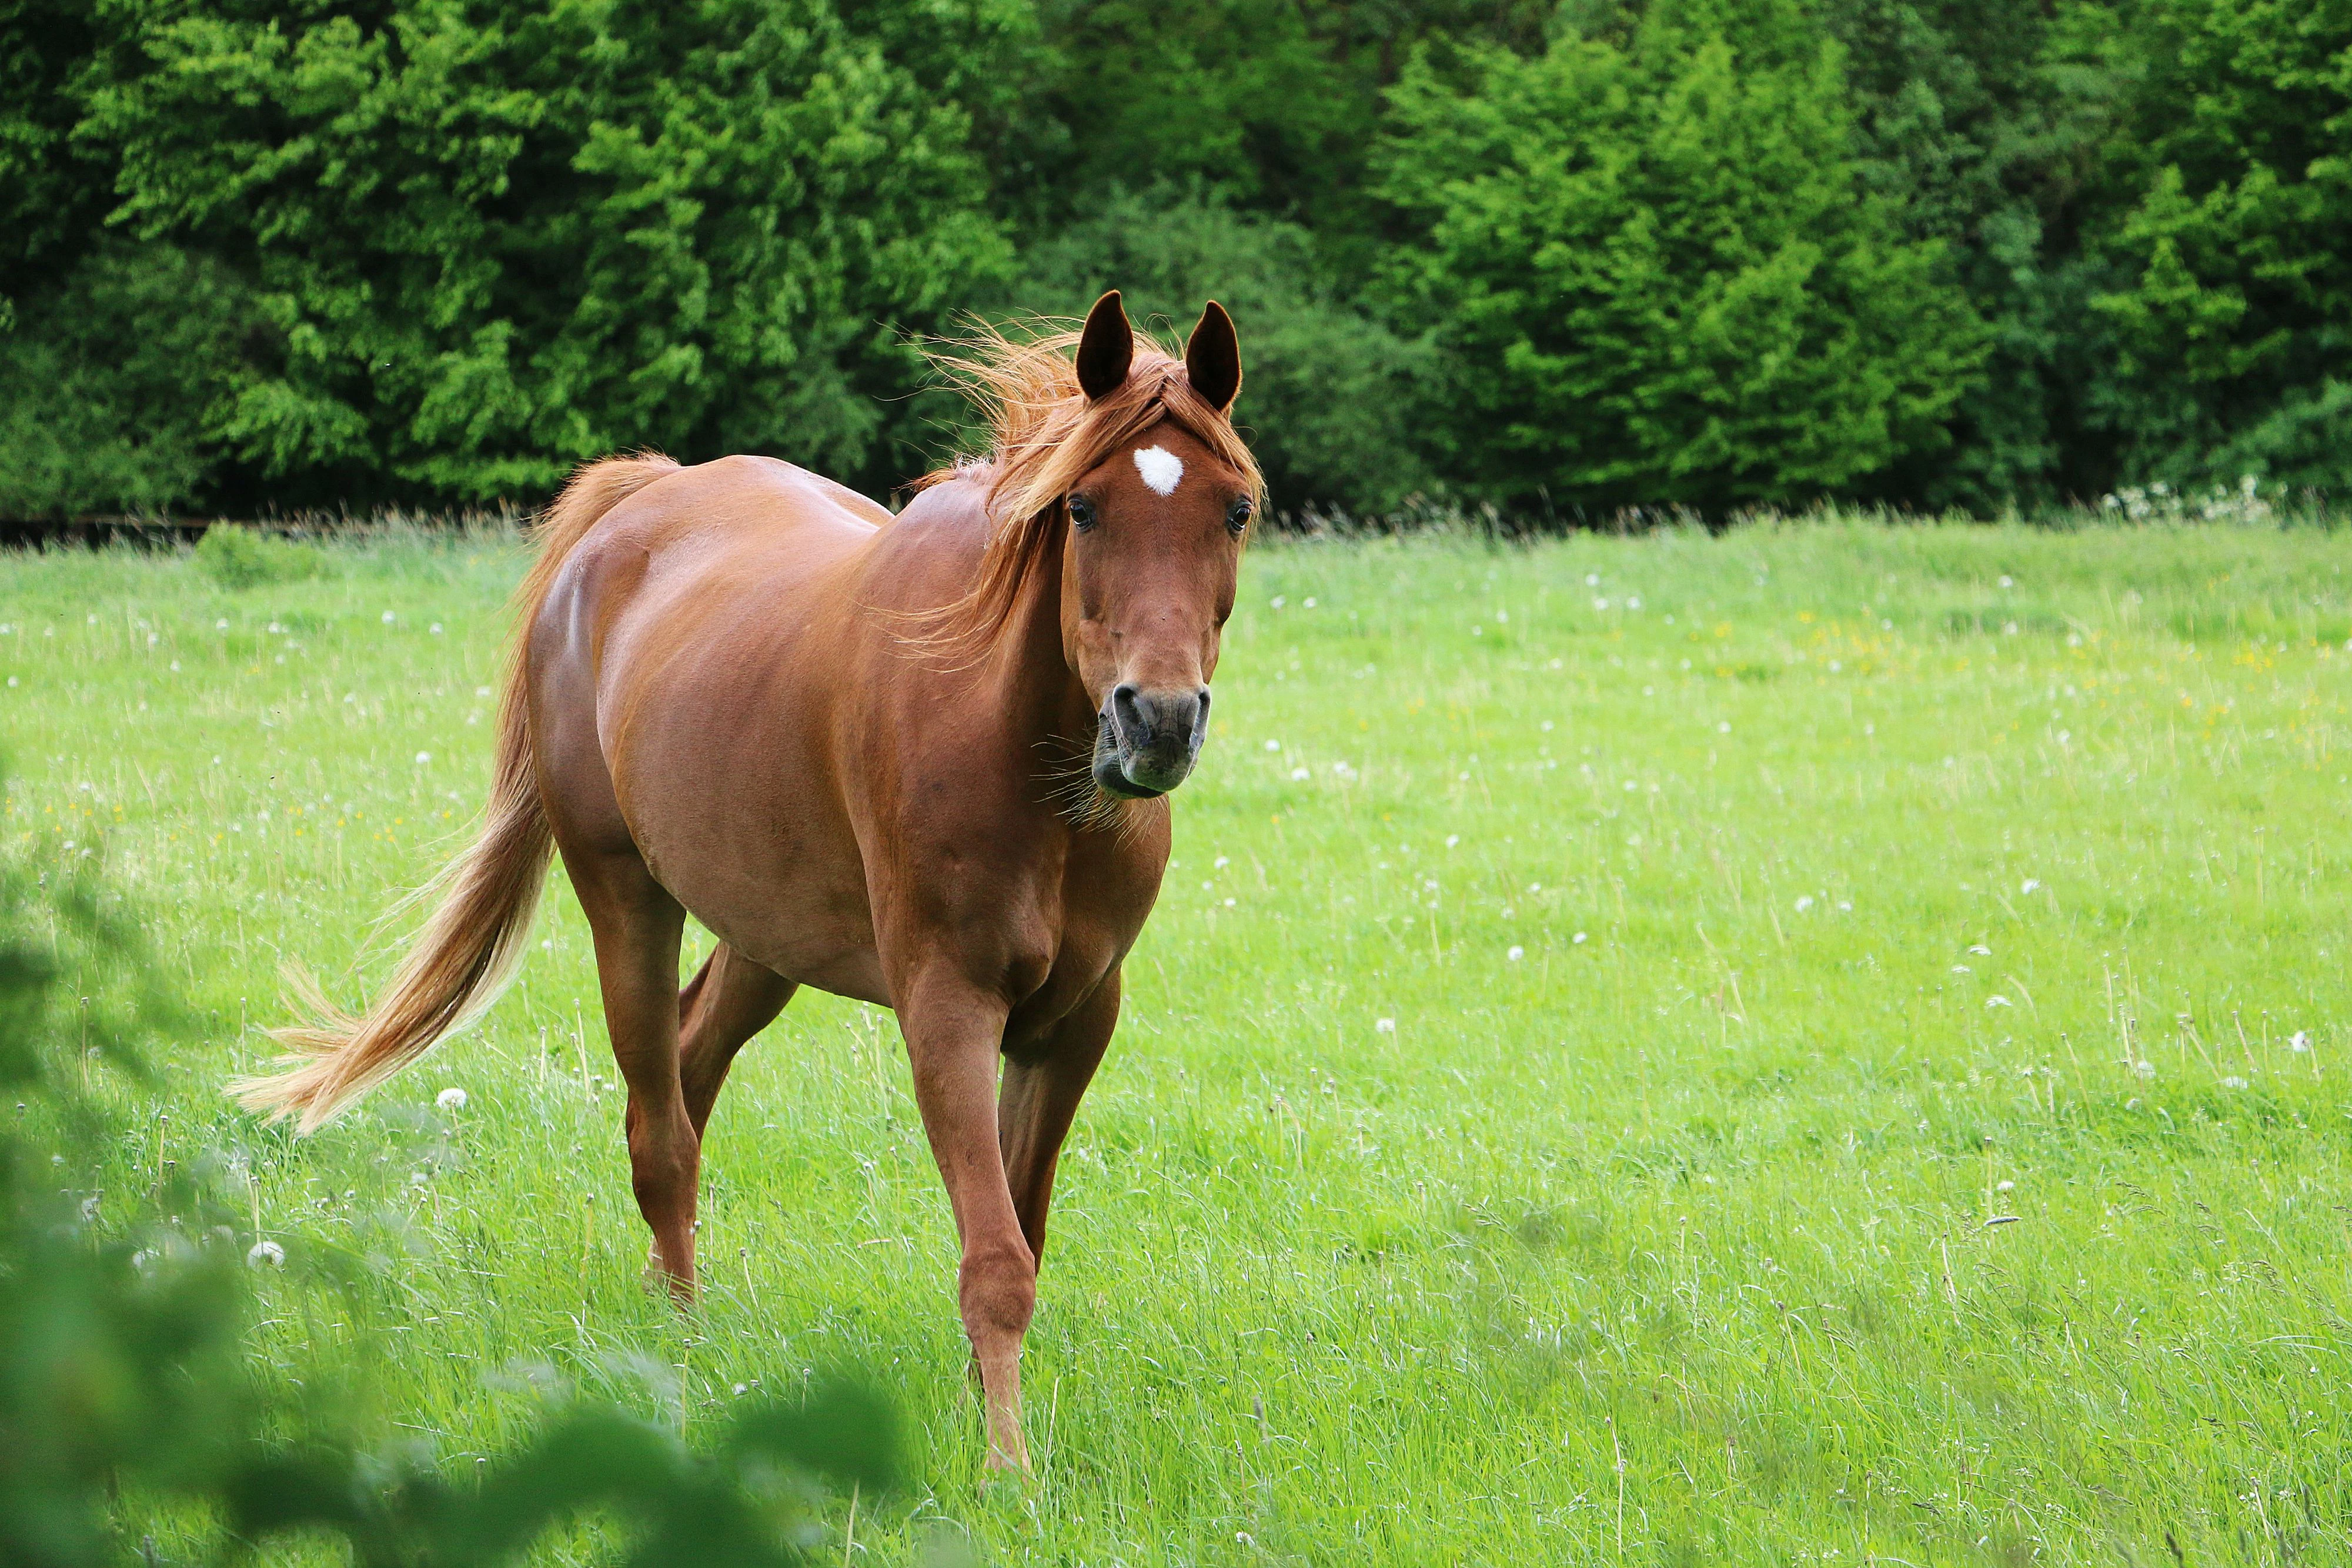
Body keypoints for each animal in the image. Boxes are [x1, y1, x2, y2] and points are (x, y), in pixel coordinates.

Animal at [231, 291, 1260, 1473]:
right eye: (1083, 508)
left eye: (1235, 510)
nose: (1159, 721)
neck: (1025, 756)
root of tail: (635, 509)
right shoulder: (947, 1010)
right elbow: (997, 1259)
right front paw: (1006, 1467)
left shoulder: (1074, 1023)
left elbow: (1021, 1229)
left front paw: (981, 1415)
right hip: (627, 900)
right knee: (660, 1130)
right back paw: (677, 1340)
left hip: (769, 942)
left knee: (689, 1066)